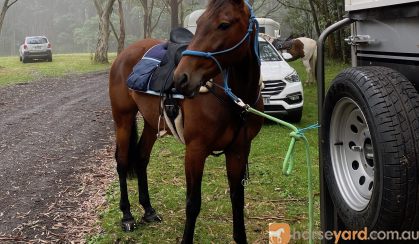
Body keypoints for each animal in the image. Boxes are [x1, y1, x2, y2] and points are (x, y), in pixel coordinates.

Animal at [110, 0, 264, 242]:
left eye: (224, 24)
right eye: (199, 23)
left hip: (152, 123)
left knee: (142, 158)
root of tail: (124, 53)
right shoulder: (195, 151)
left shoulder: (239, 150)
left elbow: (237, 198)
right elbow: (193, 203)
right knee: (123, 162)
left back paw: (148, 210)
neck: (234, 98)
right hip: (123, 120)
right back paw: (127, 215)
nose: (181, 78)